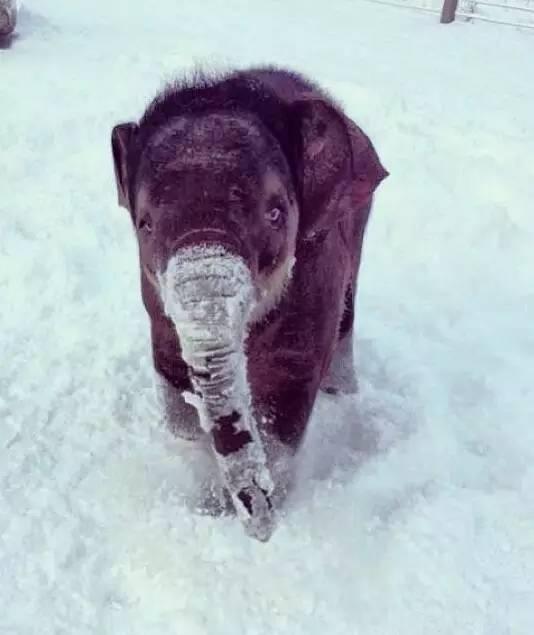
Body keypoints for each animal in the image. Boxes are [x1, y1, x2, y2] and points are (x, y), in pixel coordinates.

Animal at [112, 66, 390, 540]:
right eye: (145, 224)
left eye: (275, 213)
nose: (262, 533)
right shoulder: (154, 301)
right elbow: (173, 385)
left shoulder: (317, 274)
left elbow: (285, 405)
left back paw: (343, 394)